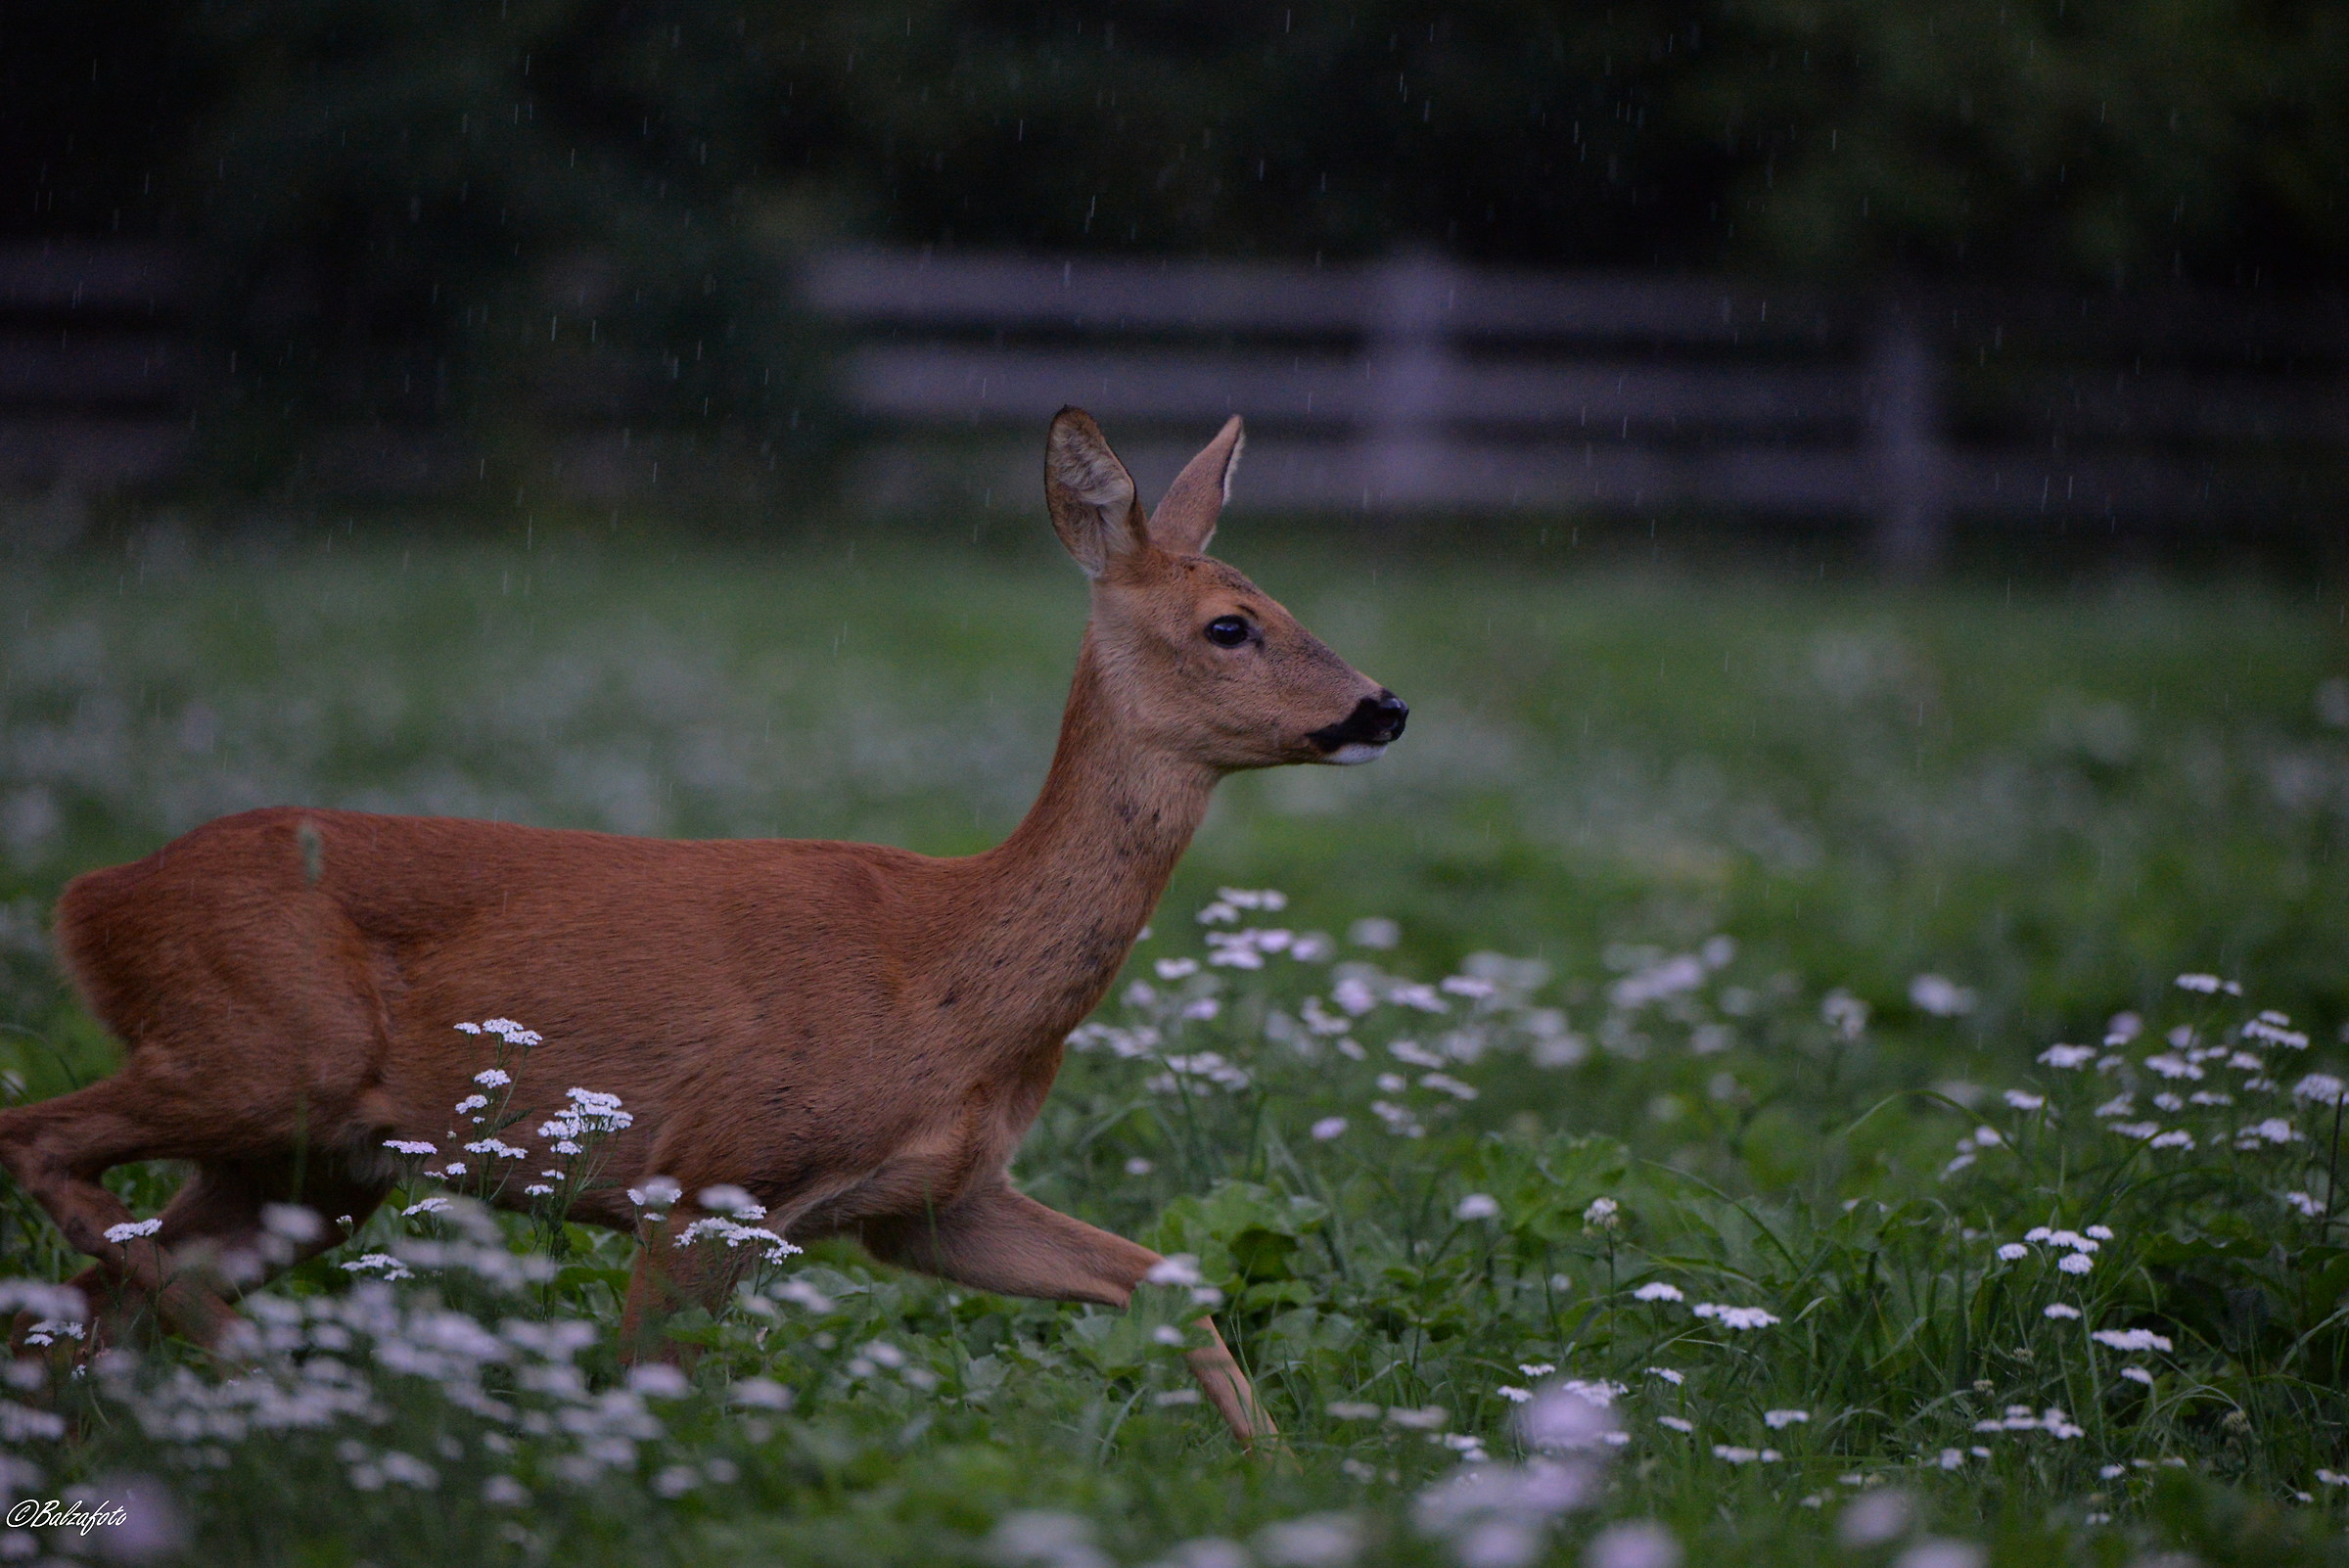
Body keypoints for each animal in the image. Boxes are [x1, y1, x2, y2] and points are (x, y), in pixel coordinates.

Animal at [0, 407, 1408, 1449]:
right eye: (1231, 625)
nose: (1382, 706)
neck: (944, 973)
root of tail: (93, 895)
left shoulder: (934, 1203)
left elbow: (1170, 1277)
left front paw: (1282, 1478)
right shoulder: (702, 1174)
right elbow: (653, 1396)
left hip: (312, 1164)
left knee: (75, 1303)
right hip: (263, 1049)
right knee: (40, 1147)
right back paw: (279, 1386)